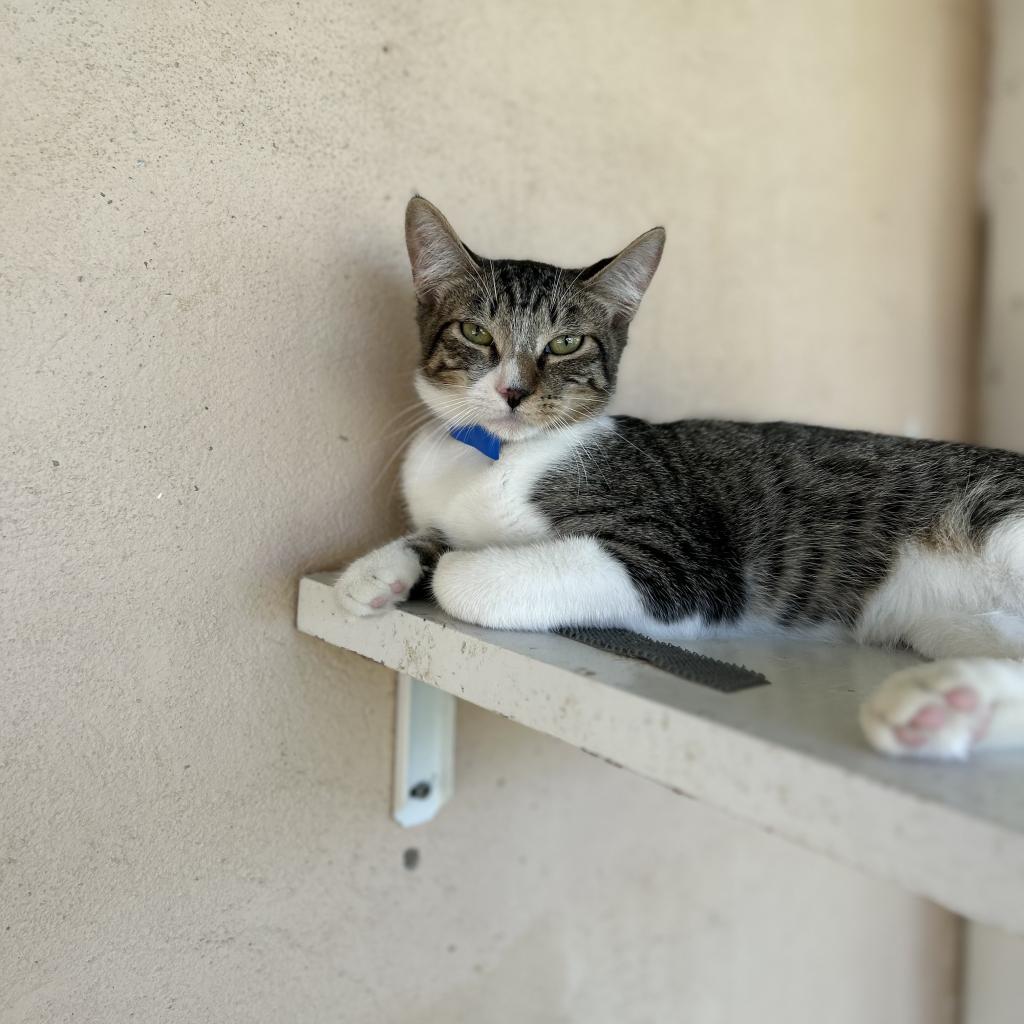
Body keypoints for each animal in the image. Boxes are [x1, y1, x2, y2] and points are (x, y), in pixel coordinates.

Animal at [335, 197, 1024, 761]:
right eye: (476, 332)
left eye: (565, 344)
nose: (513, 391)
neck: (491, 458)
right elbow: (432, 535)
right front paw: (376, 572)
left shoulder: (685, 563)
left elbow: (466, 577)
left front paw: (450, 566)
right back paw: (947, 709)